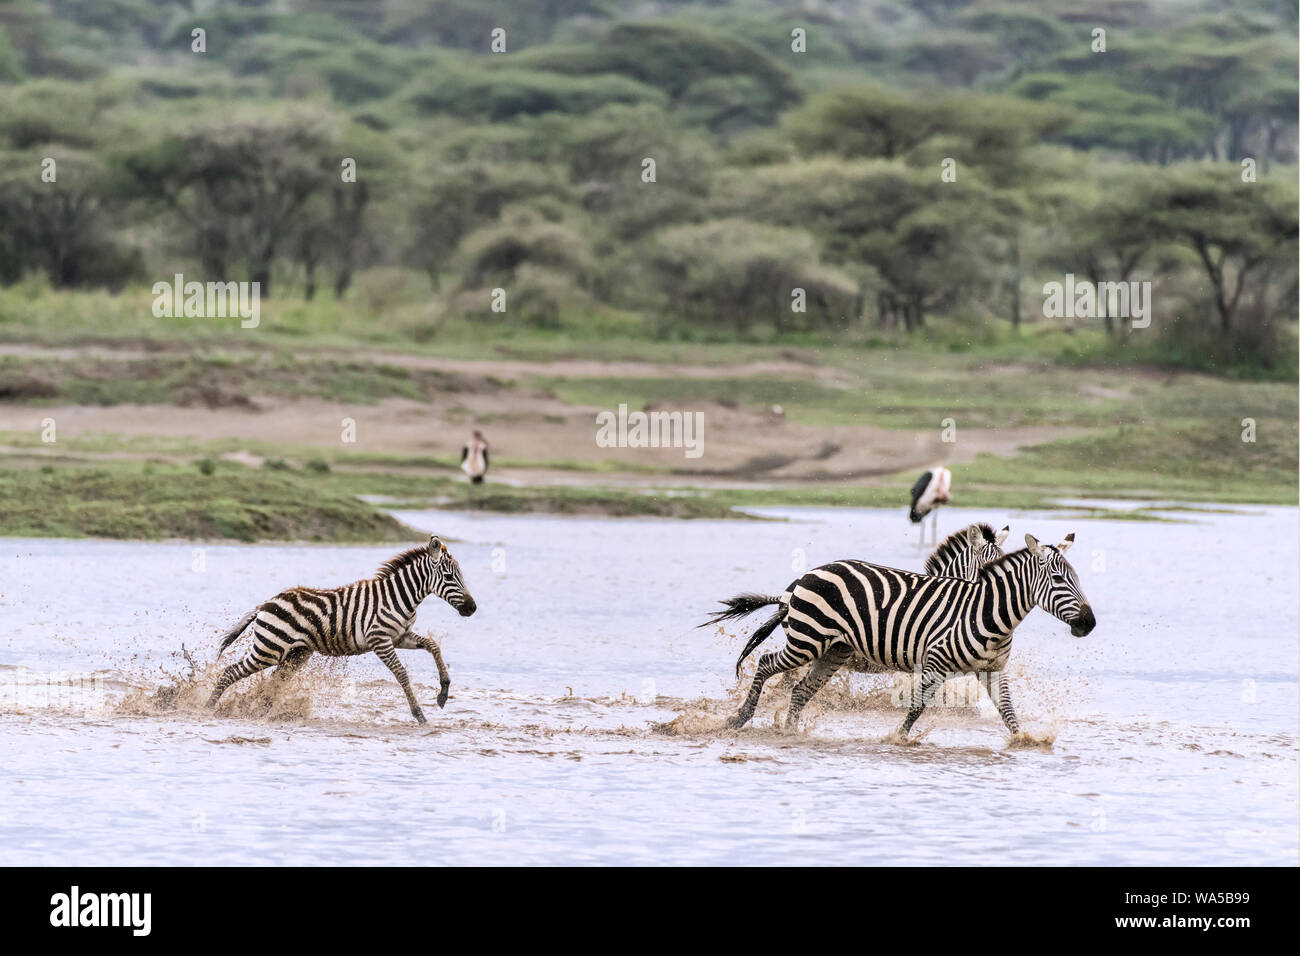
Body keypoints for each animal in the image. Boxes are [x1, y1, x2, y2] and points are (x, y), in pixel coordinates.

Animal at [207, 535, 477, 724]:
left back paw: (258, 710)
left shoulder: (400, 636)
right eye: (449, 577)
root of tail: (266, 603)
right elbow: (402, 674)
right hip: (269, 649)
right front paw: (419, 714)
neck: (399, 598)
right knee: (230, 672)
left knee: (274, 682)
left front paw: (443, 692)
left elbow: (433, 645)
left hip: (296, 653)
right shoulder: (380, 640)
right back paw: (207, 708)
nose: (472, 608)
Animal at [701, 533, 1095, 738]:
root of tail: (802, 578)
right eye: (1058, 579)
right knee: (766, 664)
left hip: (832, 650)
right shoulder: (933, 663)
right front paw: (898, 740)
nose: (1089, 624)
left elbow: (1008, 712)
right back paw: (739, 718)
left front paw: (1024, 743)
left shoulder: (992, 670)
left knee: (799, 690)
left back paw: (789, 731)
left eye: (1076, 577)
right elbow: (917, 706)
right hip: (806, 641)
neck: (987, 611)